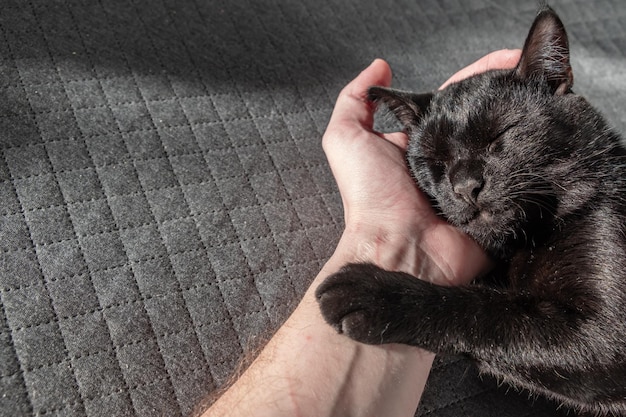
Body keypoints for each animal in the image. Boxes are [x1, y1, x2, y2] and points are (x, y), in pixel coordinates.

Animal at [314, 6, 624, 416]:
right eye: (433, 161)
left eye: (501, 134)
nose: (465, 186)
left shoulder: (604, 335)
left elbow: (485, 310)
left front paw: (376, 294)